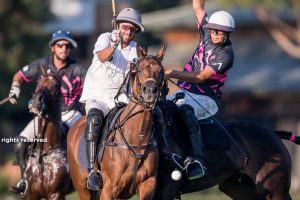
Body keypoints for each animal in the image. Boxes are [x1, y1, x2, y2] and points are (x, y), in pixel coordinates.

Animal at [67, 45, 168, 200]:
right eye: (139, 69)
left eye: (161, 71)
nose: (150, 91)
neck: (136, 140)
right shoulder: (109, 189)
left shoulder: (148, 185)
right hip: (82, 187)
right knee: (94, 120)